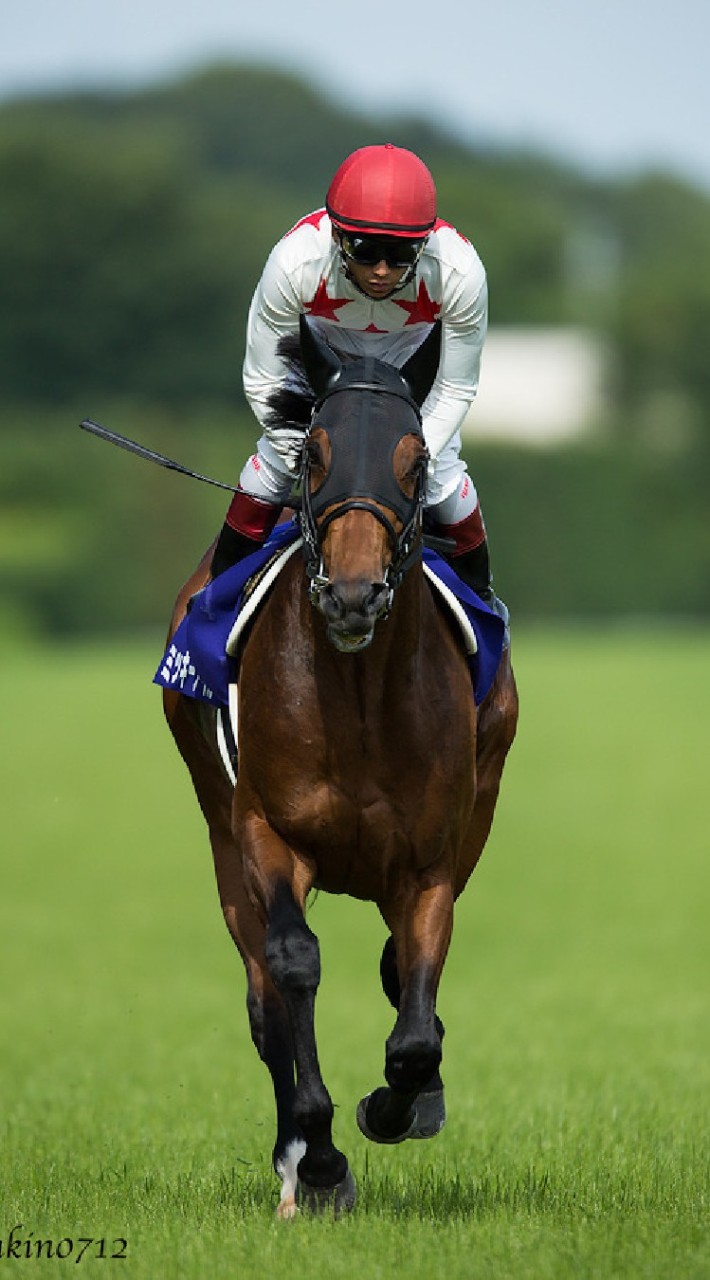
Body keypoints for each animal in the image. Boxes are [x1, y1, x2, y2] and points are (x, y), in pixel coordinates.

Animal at [161, 314, 519, 1213]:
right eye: (314, 454)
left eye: (416, 458)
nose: (353, 596)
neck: (358, 700)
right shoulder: (264, 830)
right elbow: (294, 967)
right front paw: (319, 1157)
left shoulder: (432, 860)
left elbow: (415, 1020)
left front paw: (398, 1105)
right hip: (220, 835)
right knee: (264, 1000)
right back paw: (297, 1160)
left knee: (398, 973)